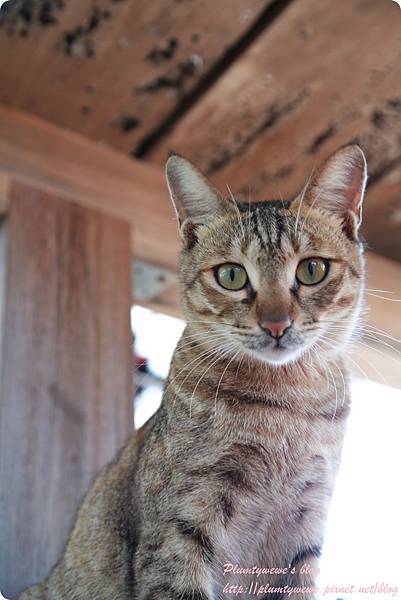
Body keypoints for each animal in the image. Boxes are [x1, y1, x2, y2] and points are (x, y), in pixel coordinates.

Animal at [20, 143, 368, 596]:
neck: (287, 406)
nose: (276, 323)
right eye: (232, 275)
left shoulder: (305, 528)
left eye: (312, 269)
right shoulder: (180, 528)